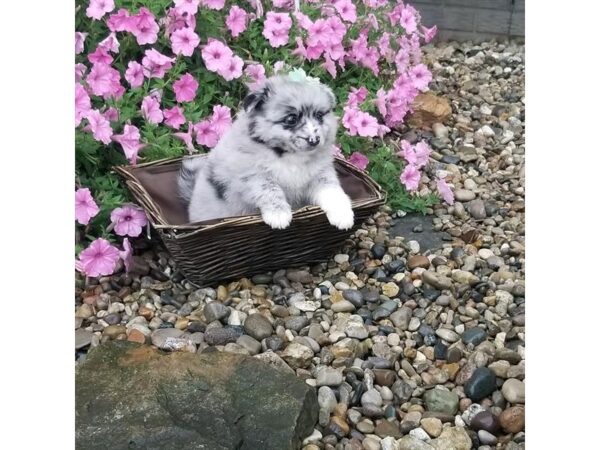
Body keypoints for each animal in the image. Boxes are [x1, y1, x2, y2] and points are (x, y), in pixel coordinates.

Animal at [178, 75, 356, 230]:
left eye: (319, 115)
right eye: (291, 119)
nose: (314, 140)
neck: (290, 156)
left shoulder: (321, 174)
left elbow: (332, 191)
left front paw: (343, 214)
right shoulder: (253, 176)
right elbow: (270, 190)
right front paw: (279, 214)